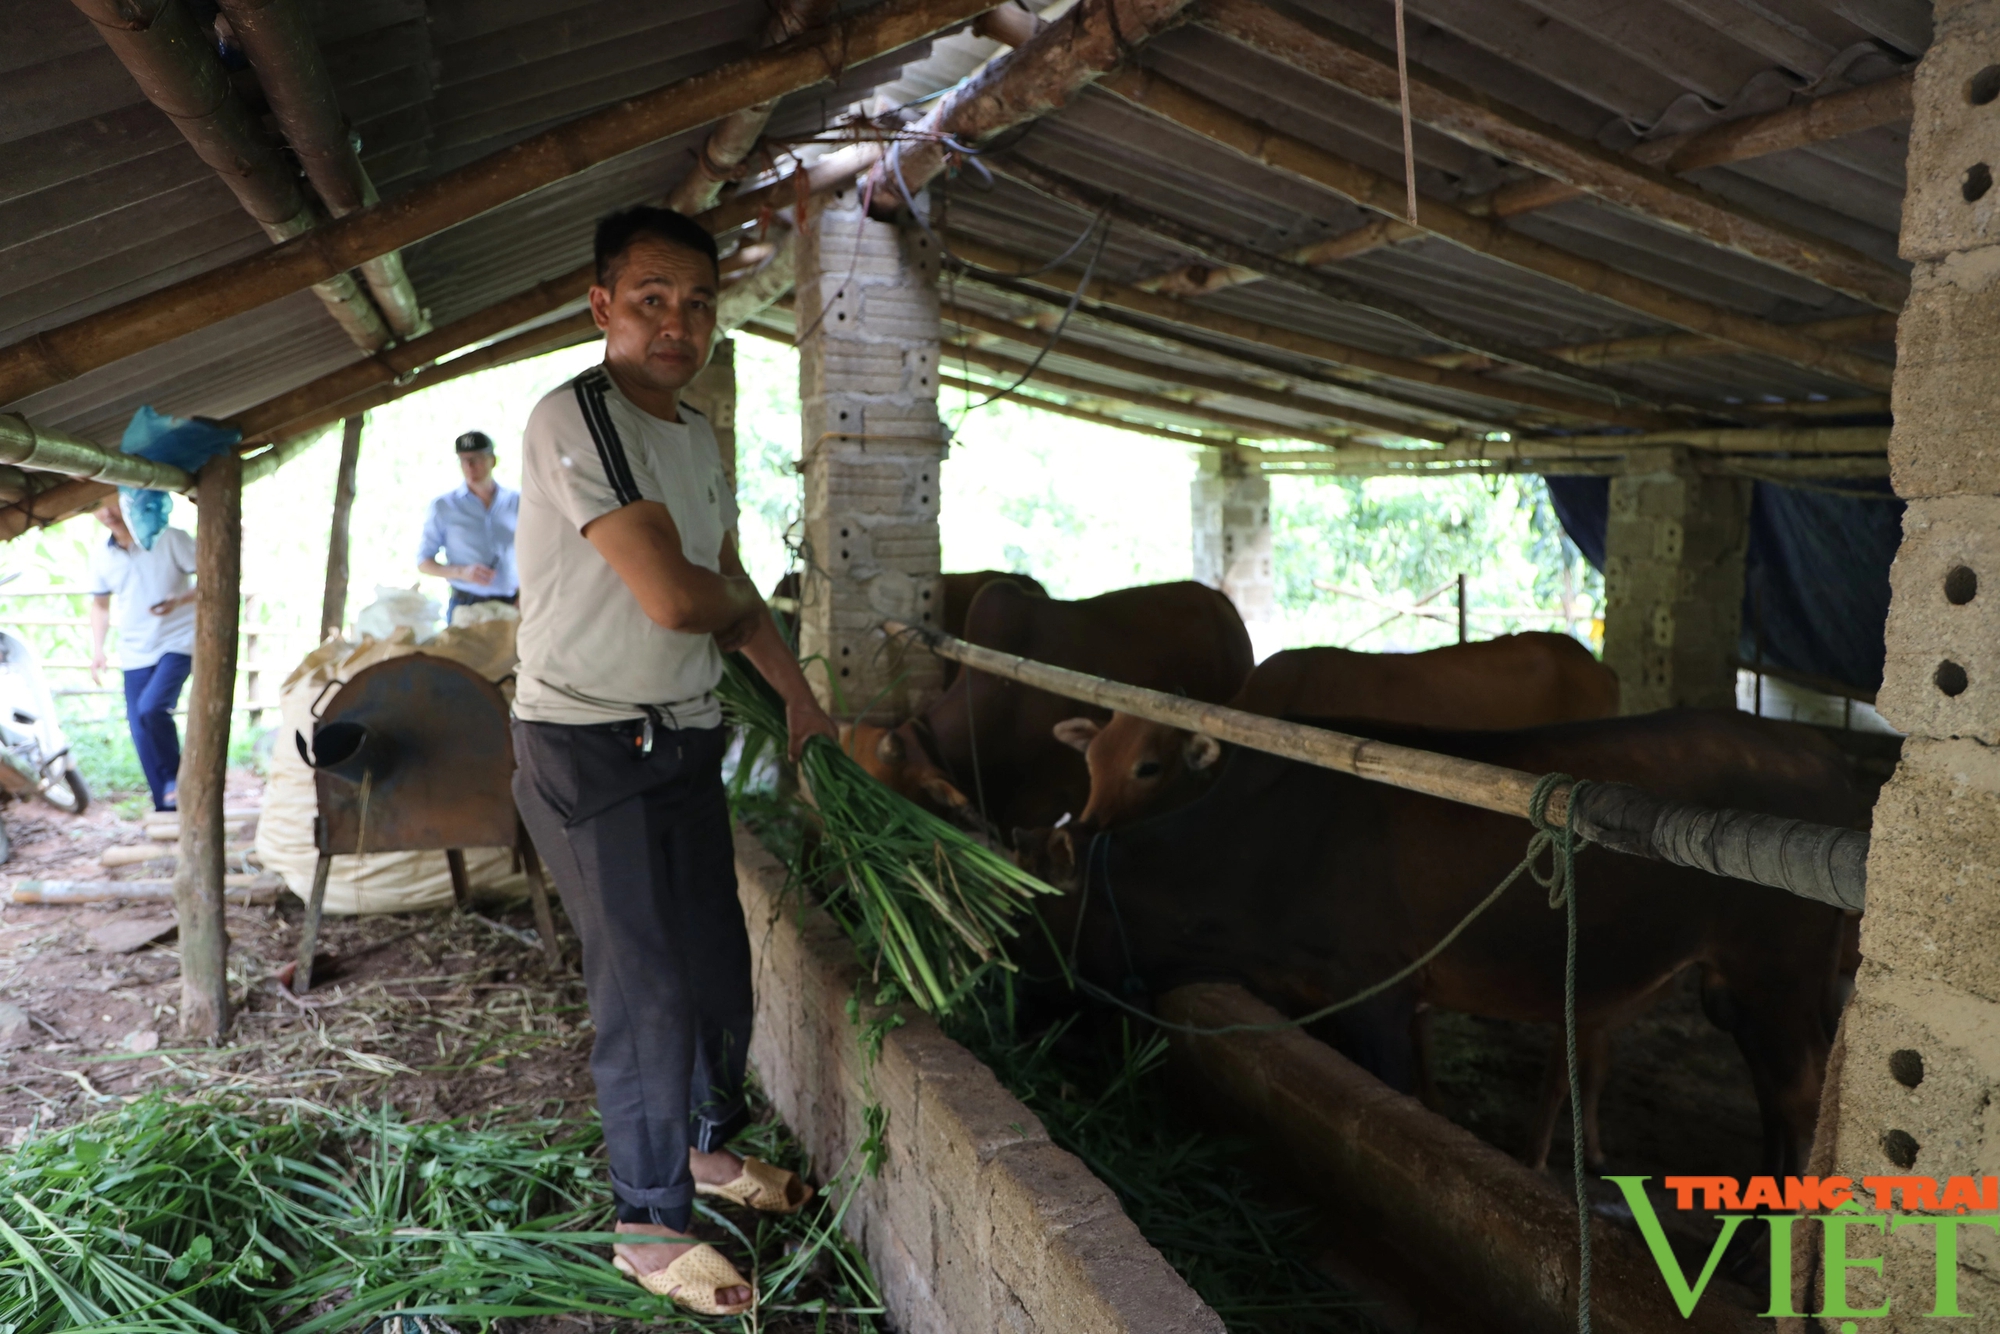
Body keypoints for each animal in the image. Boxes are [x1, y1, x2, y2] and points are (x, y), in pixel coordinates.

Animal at [1024, 708, 1864, 1176]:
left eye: (1037, 924)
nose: (1020, 1022)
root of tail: (1822, 755)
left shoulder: (1376, 994)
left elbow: (1396, 1096)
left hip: (1774, 974)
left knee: (1800, 1094)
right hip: (1743, 988)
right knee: (1774, 1096)